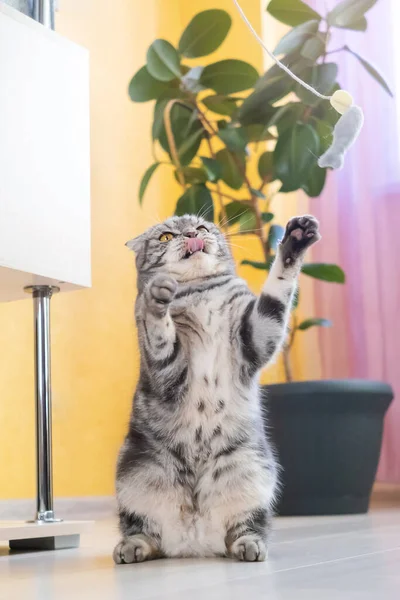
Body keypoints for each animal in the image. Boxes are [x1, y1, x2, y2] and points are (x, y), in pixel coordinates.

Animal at [114, 214, 320, 564]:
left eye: (202, 228)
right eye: (166, 236)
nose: (191, 234)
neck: (201, 292)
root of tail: (193, 542)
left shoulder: (256, 336)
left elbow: (278, 289)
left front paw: (295, 239)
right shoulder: (167, 368)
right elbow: (157, 327)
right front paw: (157, 299)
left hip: (255, 474)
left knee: (246, 527)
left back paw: (249, 546)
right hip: (135, 476)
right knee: (143, 530)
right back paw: (131, 547)